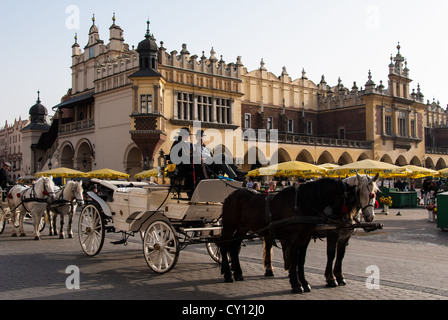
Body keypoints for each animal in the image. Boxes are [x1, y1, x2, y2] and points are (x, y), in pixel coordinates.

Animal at [219, 176, 362, 294]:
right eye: (348, 201)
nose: (347, 224)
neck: (303, 204)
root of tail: (231, 194)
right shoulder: (294, 238)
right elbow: (294, 259)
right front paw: (296, 284)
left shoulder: (305, 237)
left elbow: (301, 260)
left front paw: (304, 283)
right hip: (229, 225)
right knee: (224, 245)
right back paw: (228, 274)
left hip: (243, 227)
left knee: (234, 246)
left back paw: (238, 273)